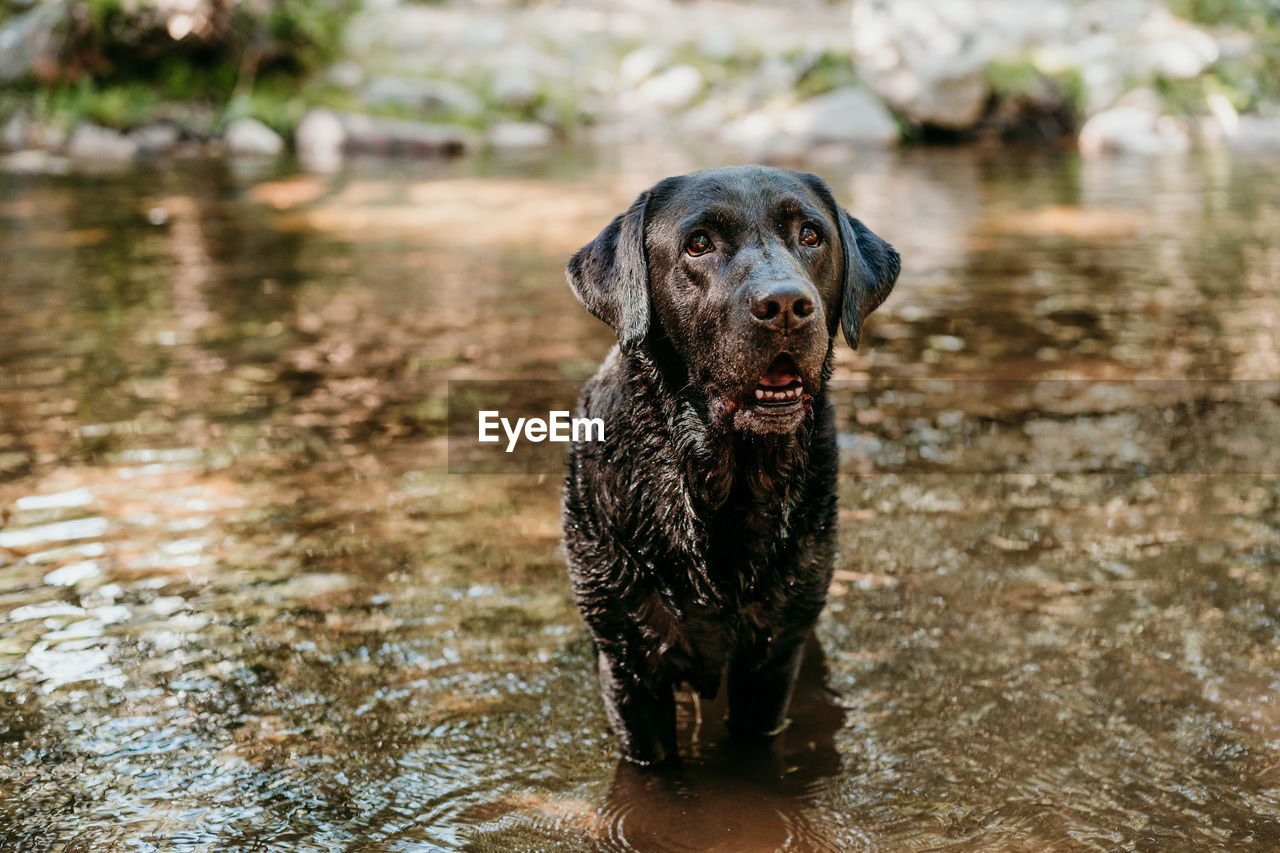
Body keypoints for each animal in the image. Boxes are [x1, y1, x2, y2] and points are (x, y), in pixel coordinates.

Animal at [560, 166, 901, 763]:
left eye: (811, 235)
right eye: (698, 244)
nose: (786, 304)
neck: (722, 487)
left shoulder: (772, 661)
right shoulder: (629, 671)